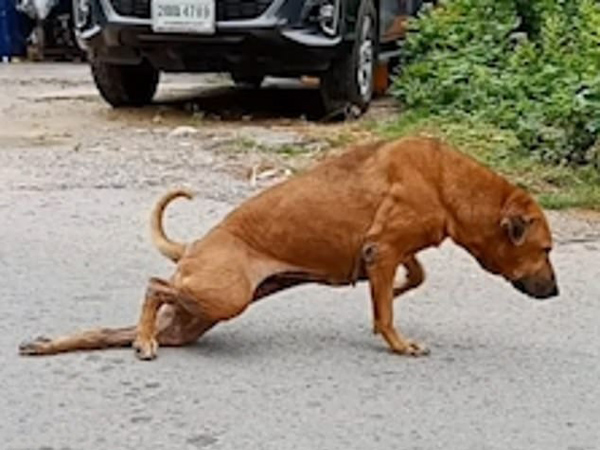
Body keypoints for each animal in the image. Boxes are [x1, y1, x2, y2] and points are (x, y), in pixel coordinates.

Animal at [19, 135, 564, 360]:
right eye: (546, 250)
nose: (556, 292)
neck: (448, 182)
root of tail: (192, 247)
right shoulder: (384, 247)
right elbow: (388, 311)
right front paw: (397, 340)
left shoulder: (389, 249)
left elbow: (412, 277)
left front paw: (392, 293)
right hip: (226, 297)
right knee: (153, 286)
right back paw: (143, 338)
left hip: (197, 318)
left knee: (114, 328)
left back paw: (52, 343)